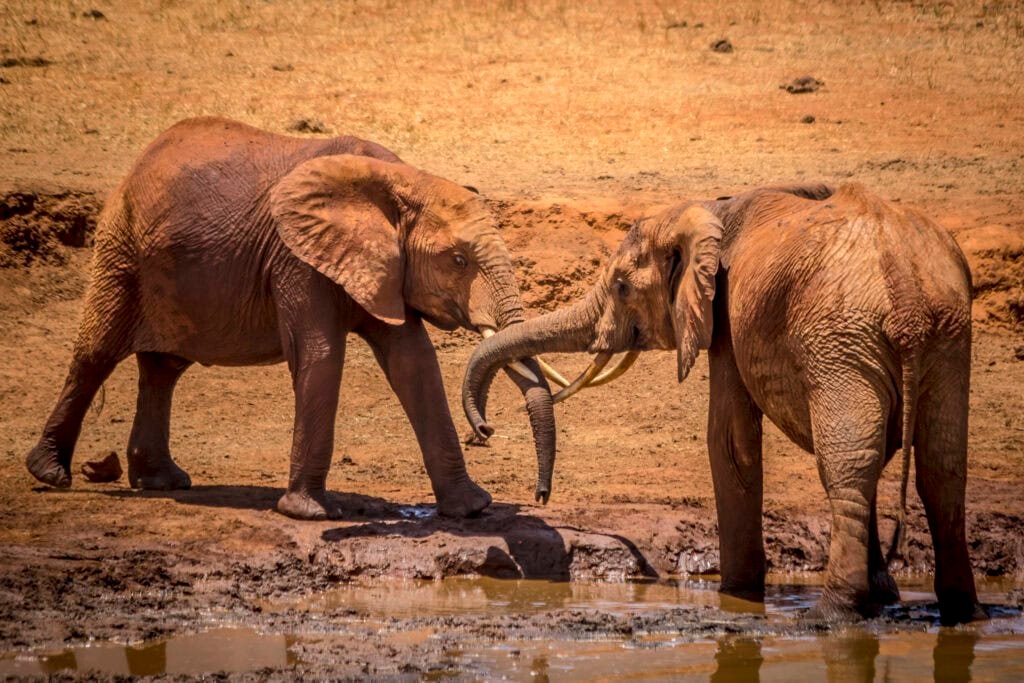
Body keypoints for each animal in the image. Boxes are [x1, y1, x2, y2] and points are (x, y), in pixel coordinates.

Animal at [25, 116, 557, 521]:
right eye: (459, 260)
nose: (486, 431)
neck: (401, 180)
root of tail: (144, 156)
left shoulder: (384, 266)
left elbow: (414, 363)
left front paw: (473, 509)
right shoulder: (296, 256)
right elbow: (321, 357)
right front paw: (311, 514)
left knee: (163, 368)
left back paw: (162, 482)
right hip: (121, 248)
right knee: (96, 352)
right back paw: (50, 474)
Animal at [463, 182, 984, 624]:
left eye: (622, 287)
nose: (486, 430)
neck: (710, 209)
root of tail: (907, 296)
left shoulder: (726, 313)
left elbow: (729, 442)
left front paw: (735, 594)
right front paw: (883, 596)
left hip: (845, 340)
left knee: (849, 465)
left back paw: (831, 615)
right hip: (947, 335)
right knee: (942, 468)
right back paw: (961, 613)